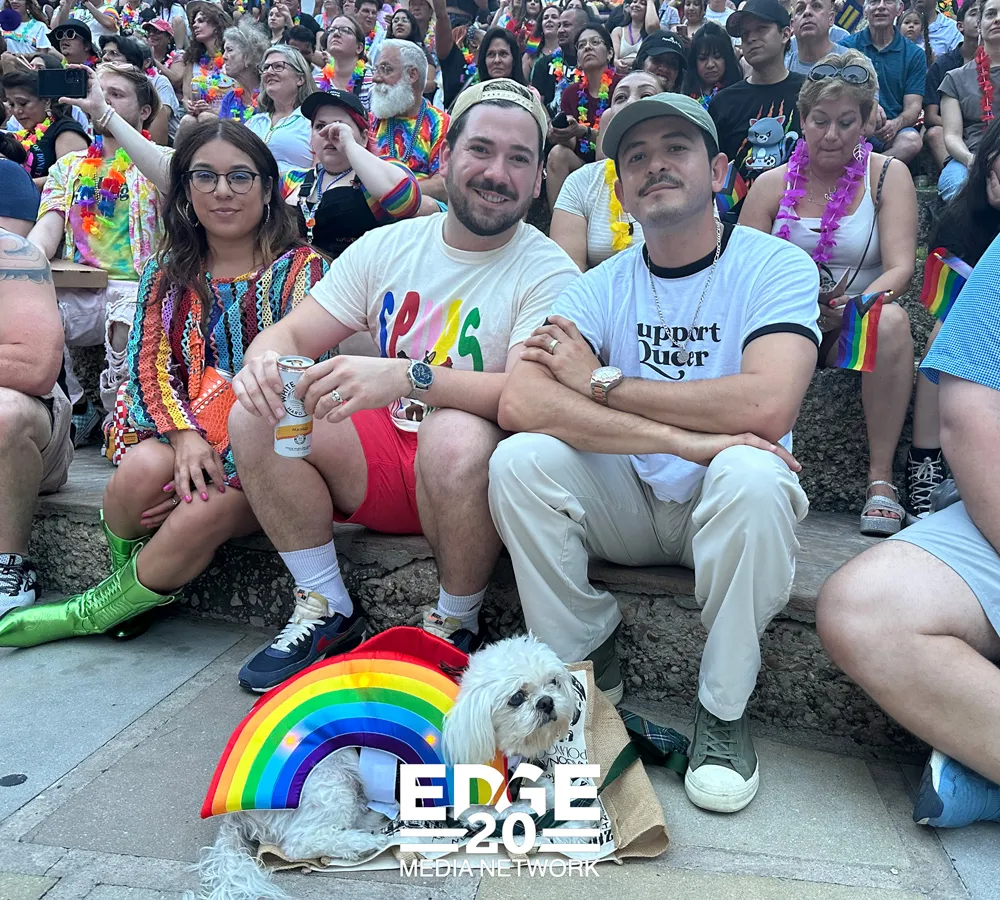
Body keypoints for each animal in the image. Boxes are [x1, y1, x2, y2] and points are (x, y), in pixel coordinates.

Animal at [187, 634, 577, 900]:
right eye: (516, 698)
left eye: (553, 682)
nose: (546, 702)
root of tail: (236, 814)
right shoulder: (464, 795)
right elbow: (505, 810)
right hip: (331, 780)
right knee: (303, 841)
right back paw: (364, 842)